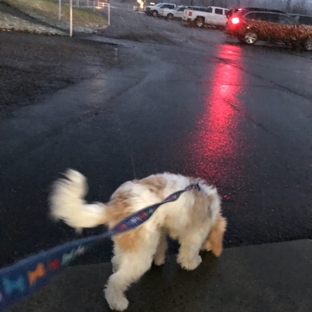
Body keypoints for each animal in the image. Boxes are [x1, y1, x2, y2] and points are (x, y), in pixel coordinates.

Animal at [50, 169, 228, 310]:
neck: (210, 208)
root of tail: (117, 205)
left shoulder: (159, 229)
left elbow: (161, 245)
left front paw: (159, 259)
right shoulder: (195, 233)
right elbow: (189, 250)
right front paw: (193, 262)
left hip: (131, 241)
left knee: (117, 260)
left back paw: (118, 266)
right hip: (139, 256)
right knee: (115, 280)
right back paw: (117, 302)